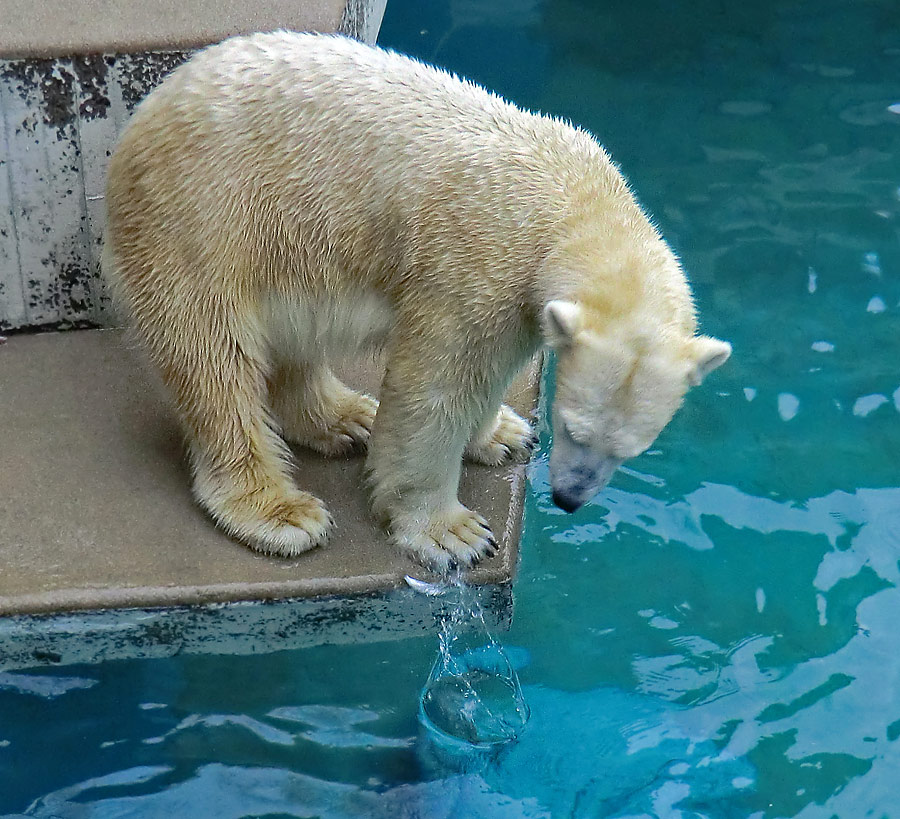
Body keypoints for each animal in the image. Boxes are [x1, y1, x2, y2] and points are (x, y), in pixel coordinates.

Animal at [102, 30, 728, 572]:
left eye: (634, 448)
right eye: (574, 428)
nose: (570, 499)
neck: (572, 198)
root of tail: (148, 108)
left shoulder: (518, 297)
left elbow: (494, 369)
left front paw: (502, 434)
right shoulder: (478, 261)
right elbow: (437, 389)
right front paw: (451, 533)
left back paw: (344, 417)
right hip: (204, 221)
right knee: (213, 360)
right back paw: (279, 510)